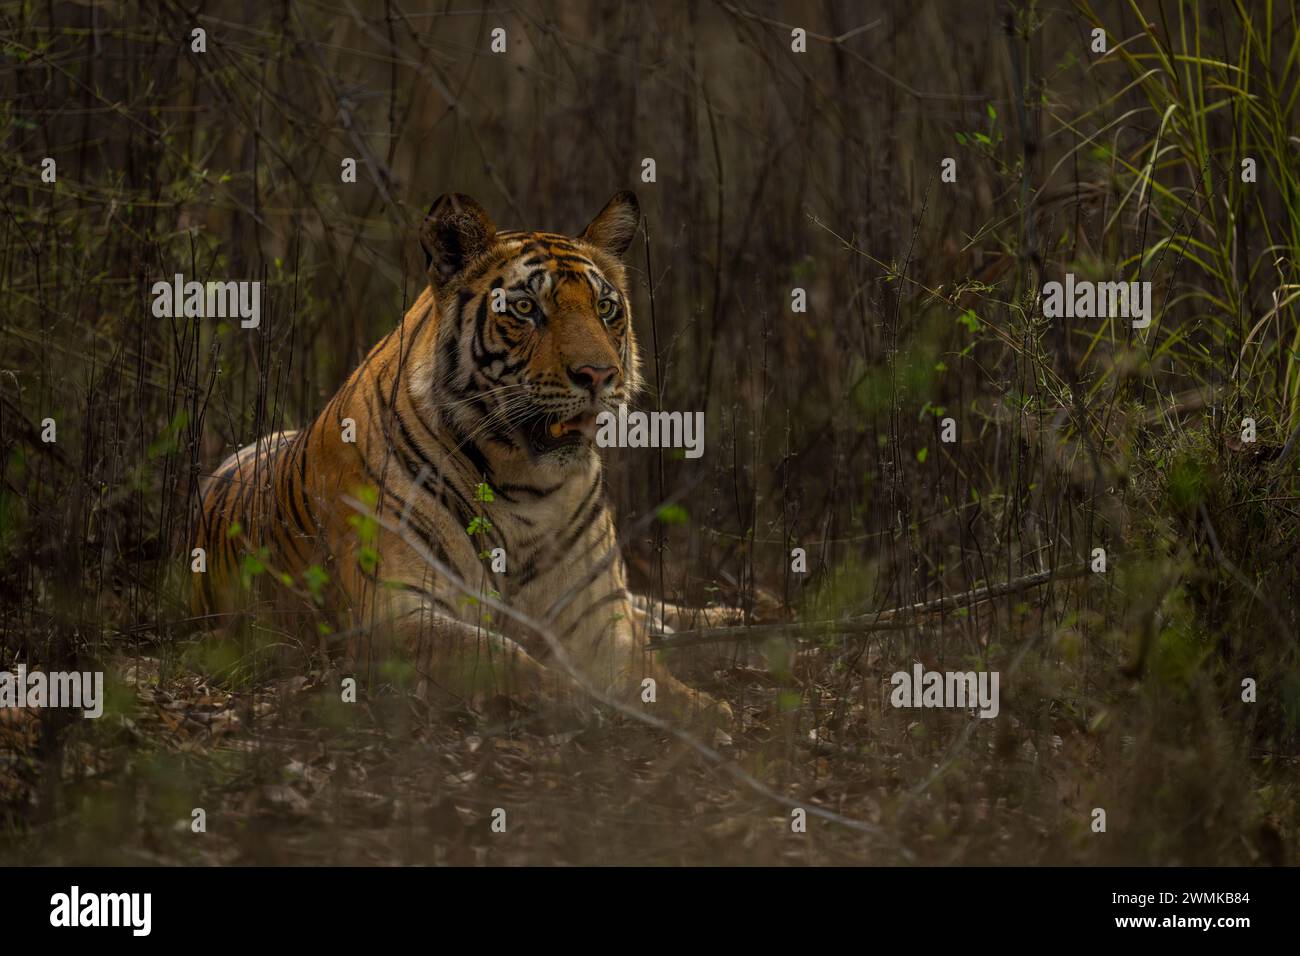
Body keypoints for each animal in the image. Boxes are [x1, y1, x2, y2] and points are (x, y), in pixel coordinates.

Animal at [191, 191, 733, 725]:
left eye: (605, 307)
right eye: (524, 307)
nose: (599, 375)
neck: (527, 485)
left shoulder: (597, 610)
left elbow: (643, 668)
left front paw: (703, 711)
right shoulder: (395, 611)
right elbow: (508, 659)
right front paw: (582, 702)